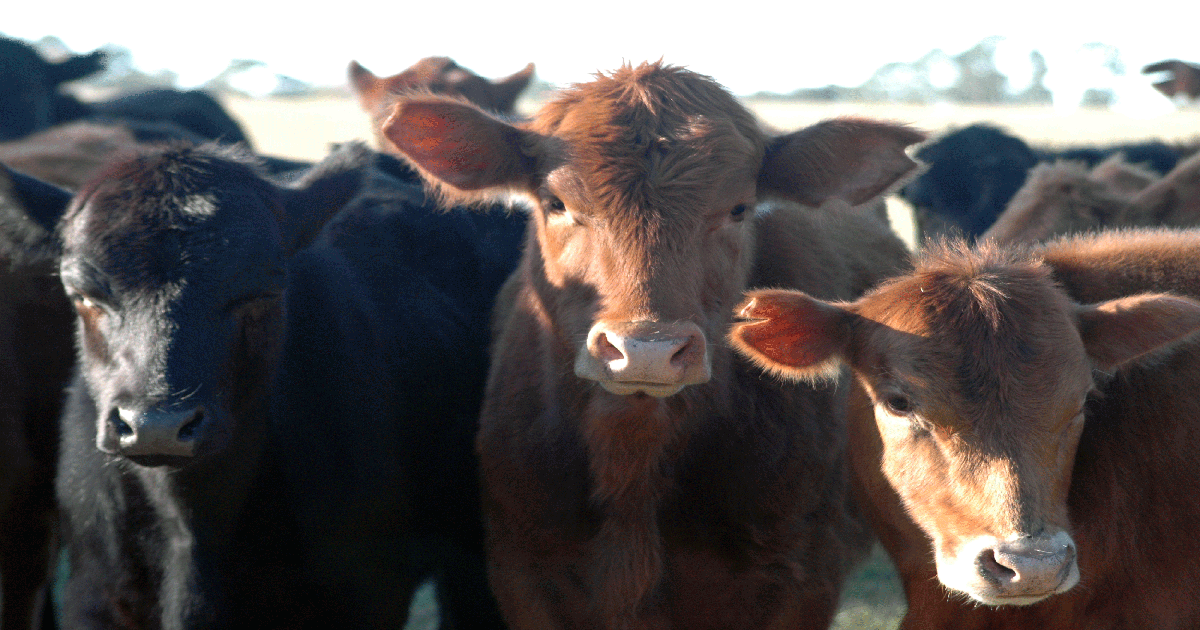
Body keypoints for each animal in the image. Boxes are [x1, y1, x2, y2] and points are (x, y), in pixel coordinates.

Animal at [22, 142, 524, 628]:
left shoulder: (364, 593)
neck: (193, 530)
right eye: (83, 294)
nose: (155, 426)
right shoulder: (94, 592)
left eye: (263, 292)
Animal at [379, 61, 923, 629]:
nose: (648, 351)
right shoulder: (523, 572)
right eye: (556, 203)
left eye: (739, 209)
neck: (633, 462)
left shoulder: (802, 577)